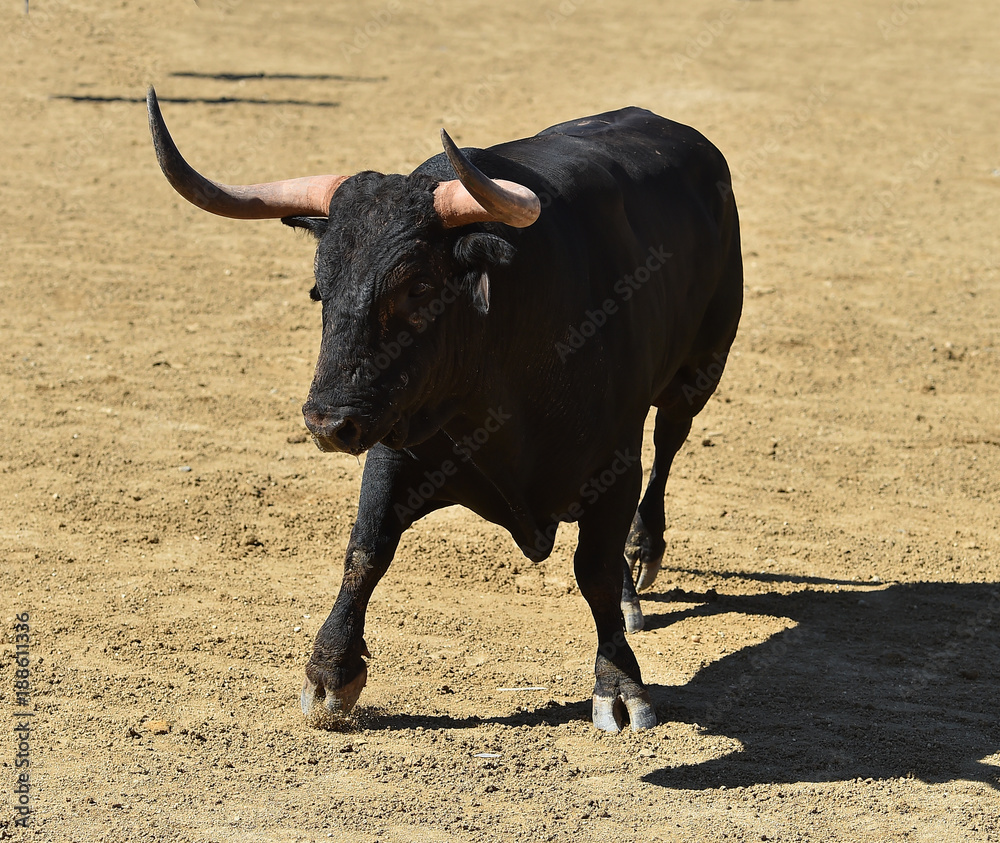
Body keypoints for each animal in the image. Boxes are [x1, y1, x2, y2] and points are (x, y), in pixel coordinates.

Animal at [148, 95, 744, 736]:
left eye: (417, 287)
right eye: (319, 291)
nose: (327, 423)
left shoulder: (614, 462)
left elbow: (597, 571)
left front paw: (620, 685)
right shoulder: (395, 448)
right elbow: (366, 550)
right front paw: (330, 672)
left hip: (699, 370)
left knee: (668, 446)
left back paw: (642, 555)